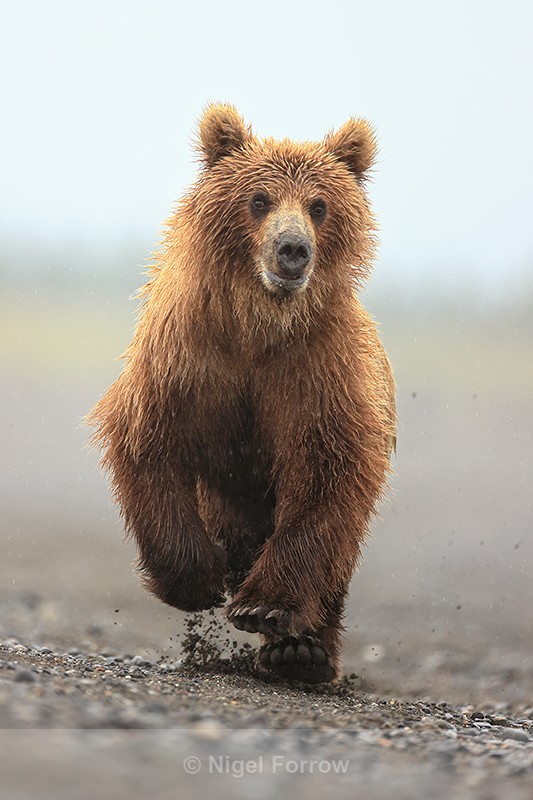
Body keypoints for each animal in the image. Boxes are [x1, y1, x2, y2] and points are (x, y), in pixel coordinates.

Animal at [88, 103, 396, 684]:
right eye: (259, 199)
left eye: (319, 205)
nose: (292, 249)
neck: (259, 328)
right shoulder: (189, 363)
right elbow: (152, 446)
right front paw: (194, 581)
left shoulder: (317, 375)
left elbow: (327, 474)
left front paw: (267, 608)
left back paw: (301, 653)